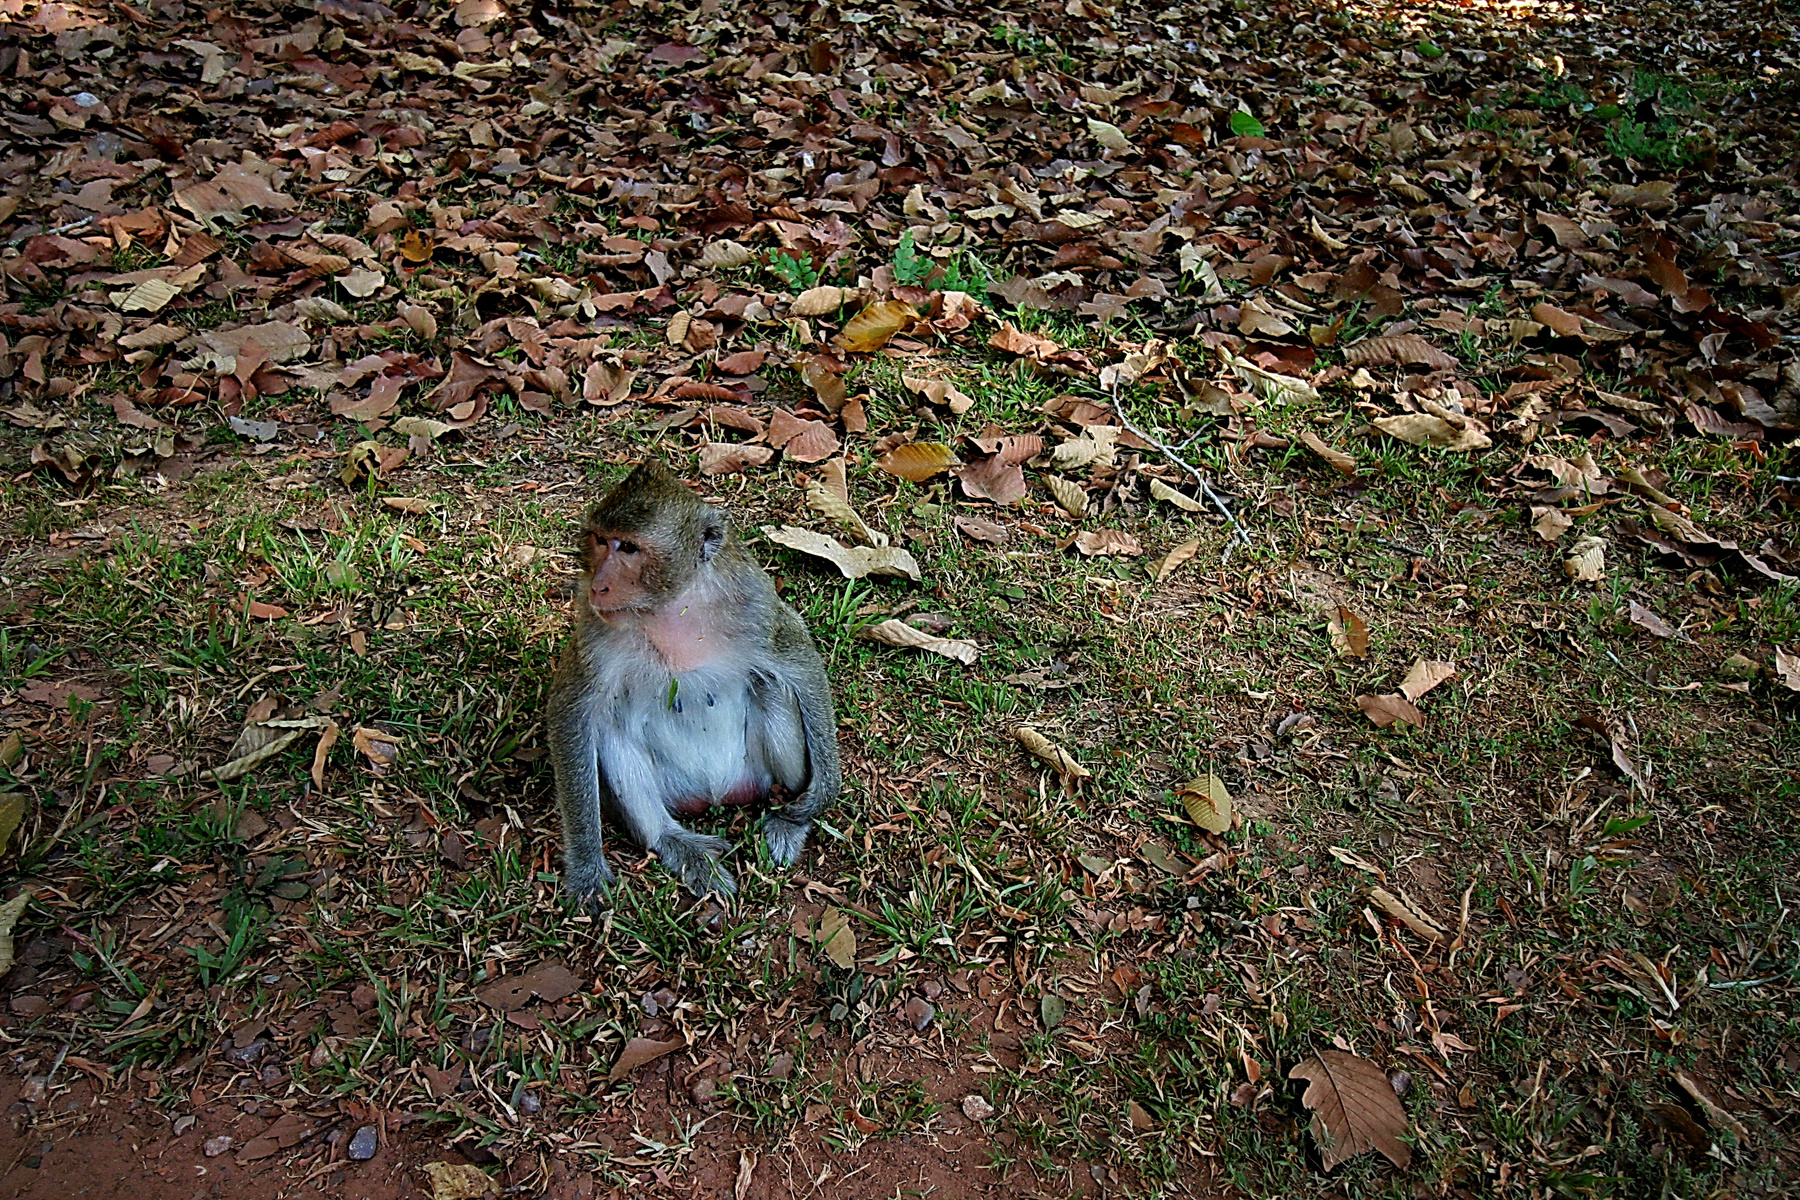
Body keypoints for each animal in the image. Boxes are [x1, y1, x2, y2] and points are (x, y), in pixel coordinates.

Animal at [546, 460, 841, 903]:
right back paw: (674, 842)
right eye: (599, 540)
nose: (599, 584)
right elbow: (572, 713)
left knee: (771, 687)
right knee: (609, 728)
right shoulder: (594, 628)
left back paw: (789, 821)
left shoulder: (753, 603)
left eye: (628, 548)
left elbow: (799, 662)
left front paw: (821, 795)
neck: (672, 606)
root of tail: (715, 796)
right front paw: (586, 867)